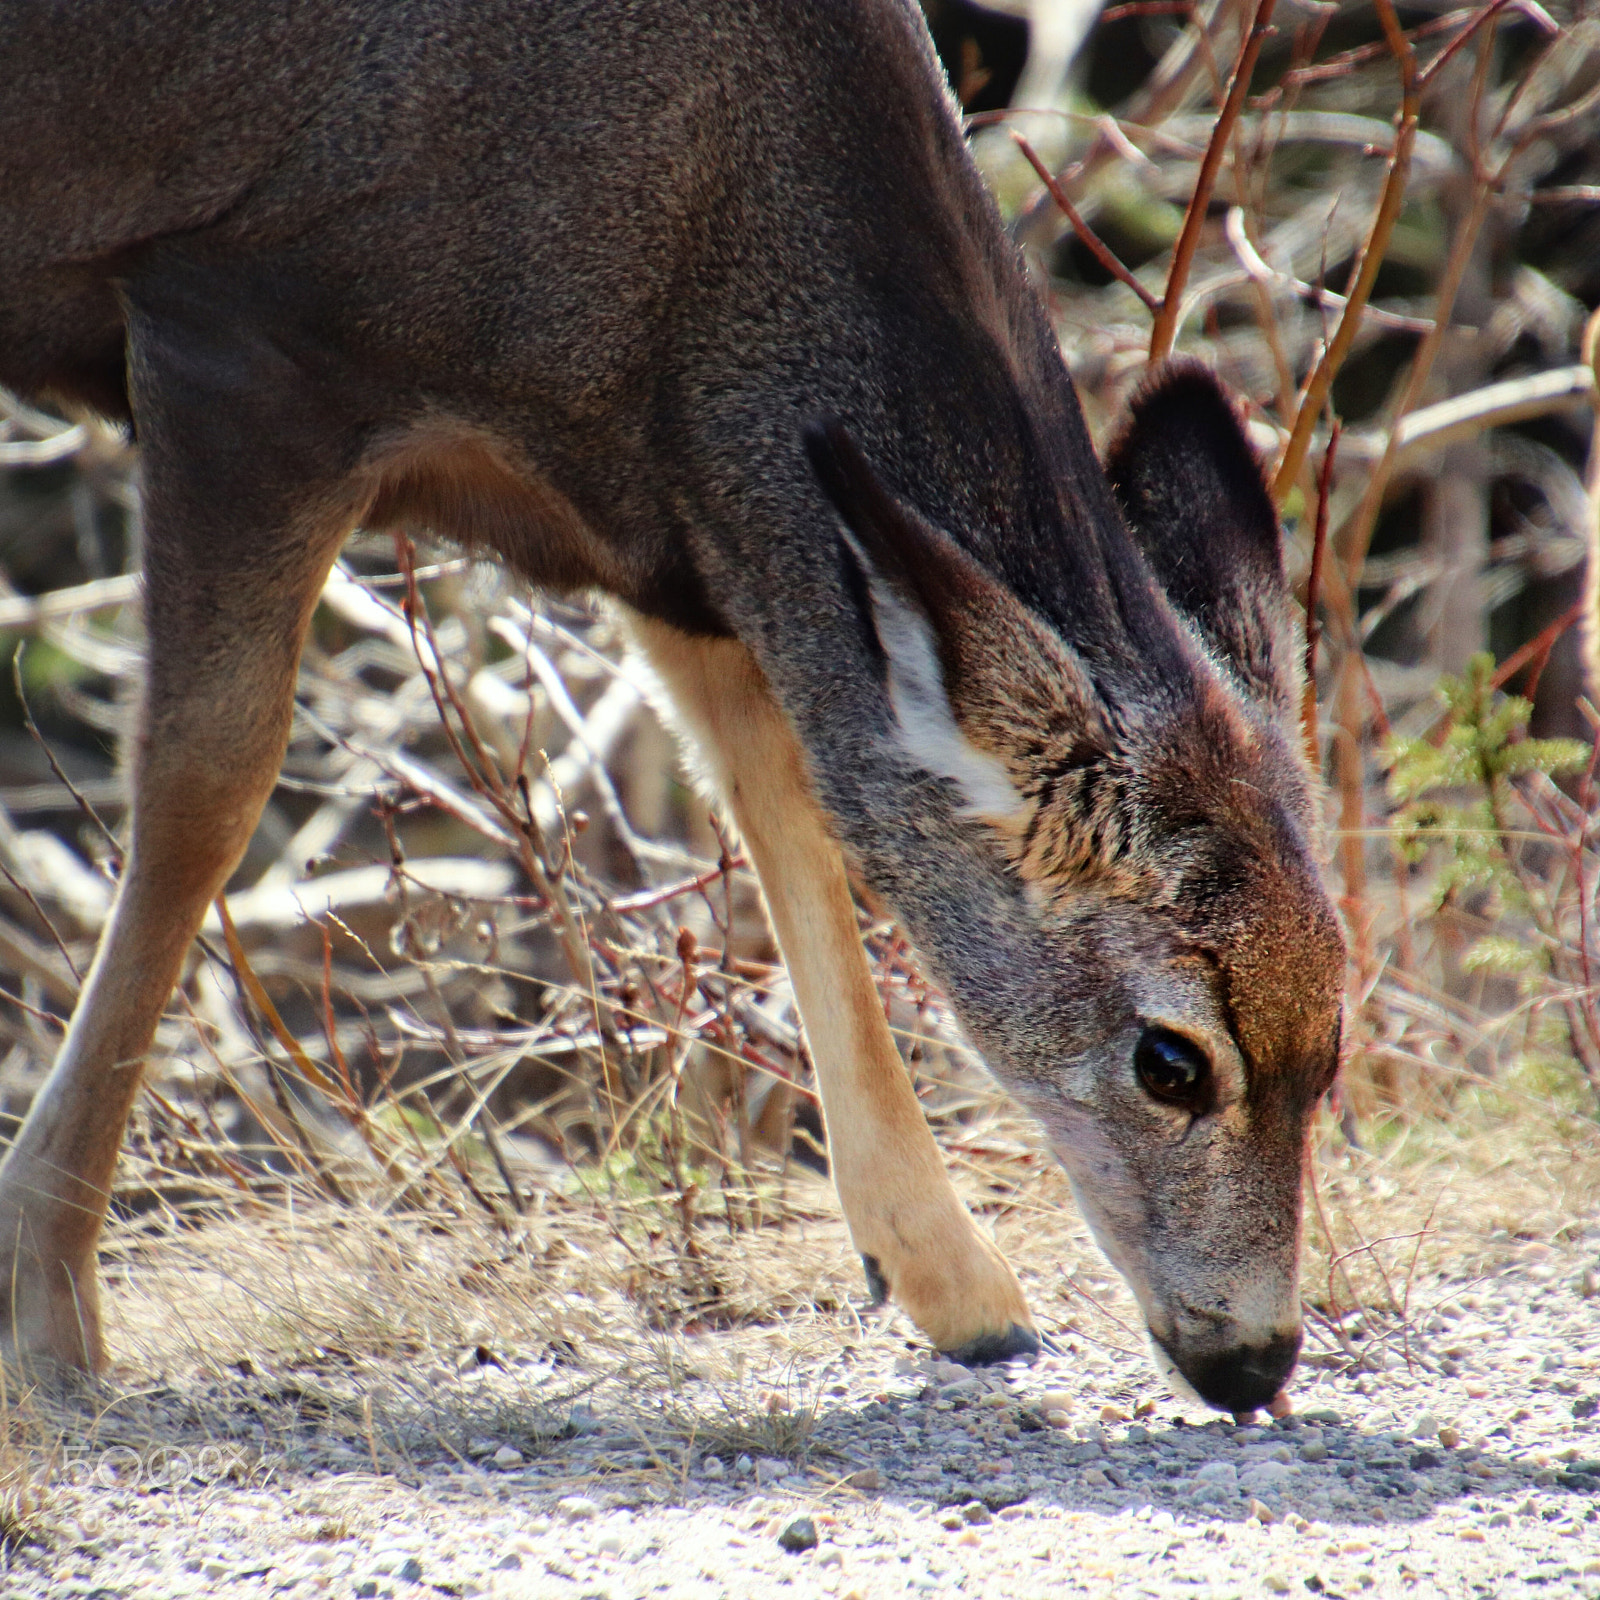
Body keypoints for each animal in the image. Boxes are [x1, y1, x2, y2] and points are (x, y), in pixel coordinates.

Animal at [0, 0, 1345, 1414]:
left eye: (1334, 1044)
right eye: (1170, 1060)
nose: (1255, 1357)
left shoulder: (678, 521)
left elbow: (784, 808)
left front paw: (952, 1284)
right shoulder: (244, 338)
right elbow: (203, 788)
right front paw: (51, 1311)